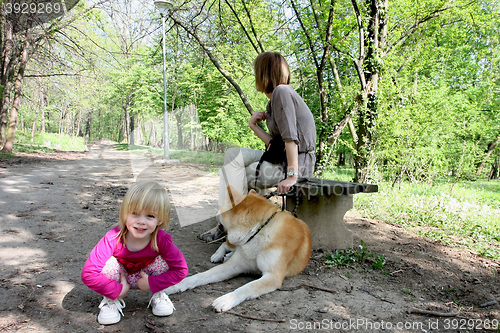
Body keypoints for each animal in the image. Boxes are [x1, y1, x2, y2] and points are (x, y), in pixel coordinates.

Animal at [162, 184, 310, 312]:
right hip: (232, 245)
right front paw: (175, 285)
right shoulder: (235, 265)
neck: (258, 230)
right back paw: (219, 255)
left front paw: (225, 300)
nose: (215, 213)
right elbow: (201, 275)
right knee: (225, 244)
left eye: (221, 208)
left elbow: (246, 287)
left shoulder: (272, 276)